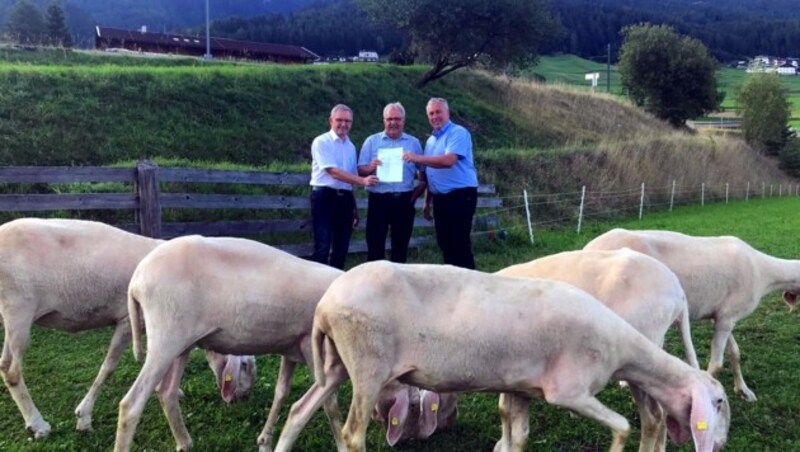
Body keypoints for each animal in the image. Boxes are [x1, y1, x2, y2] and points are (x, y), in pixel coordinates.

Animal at [0, 219, 255, 438]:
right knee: (13, 371)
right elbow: (108, 367)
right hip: (19, 308)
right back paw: (38, 424)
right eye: (245, 365)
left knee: (4, 365)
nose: (244, 397)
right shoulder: (127, 320)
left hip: (11, 314)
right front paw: (84, 416)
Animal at [113, 235, 346, 450]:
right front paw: (342, 444)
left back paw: (184, 443)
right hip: (165, 338)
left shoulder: (292, 348)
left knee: (166, 392)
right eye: (245, 367)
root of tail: (136, 279)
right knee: (131, 404)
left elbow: (281, 392)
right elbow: (330, 404)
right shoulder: (314, 349)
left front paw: (265, 441)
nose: (244, 397)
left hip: (182, 343)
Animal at [580, 228, 800, 400]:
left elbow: (735, 353)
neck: (764, 273)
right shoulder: (727, 318)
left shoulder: (725, 317)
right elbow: (717, 364)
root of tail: (586, 248)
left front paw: (744, 391)